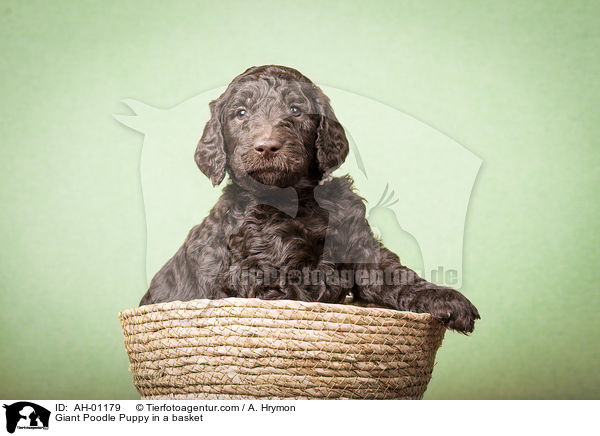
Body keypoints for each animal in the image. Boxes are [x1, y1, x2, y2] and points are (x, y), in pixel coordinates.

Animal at [139, 64, 478, 332]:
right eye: (241, 113)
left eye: (295, 110)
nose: (267, 147)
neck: (298, 200)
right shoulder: (259, 276)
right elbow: (312, 281)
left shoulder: (361, 247)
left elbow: (393, 275)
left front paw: (447, 299)